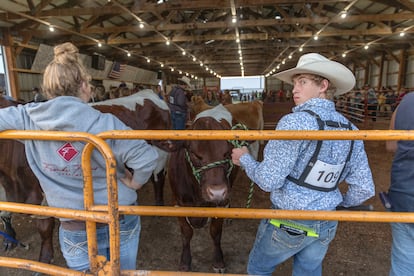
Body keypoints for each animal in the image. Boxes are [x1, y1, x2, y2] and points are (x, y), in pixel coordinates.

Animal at [168, 104, 239, 272]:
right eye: (195, 154)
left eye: (226, 153)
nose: (217, 192)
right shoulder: (178, 203)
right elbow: (186, 233)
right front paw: (185, 262)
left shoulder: (219, 205)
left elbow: (215, 233)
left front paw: (218, 261)